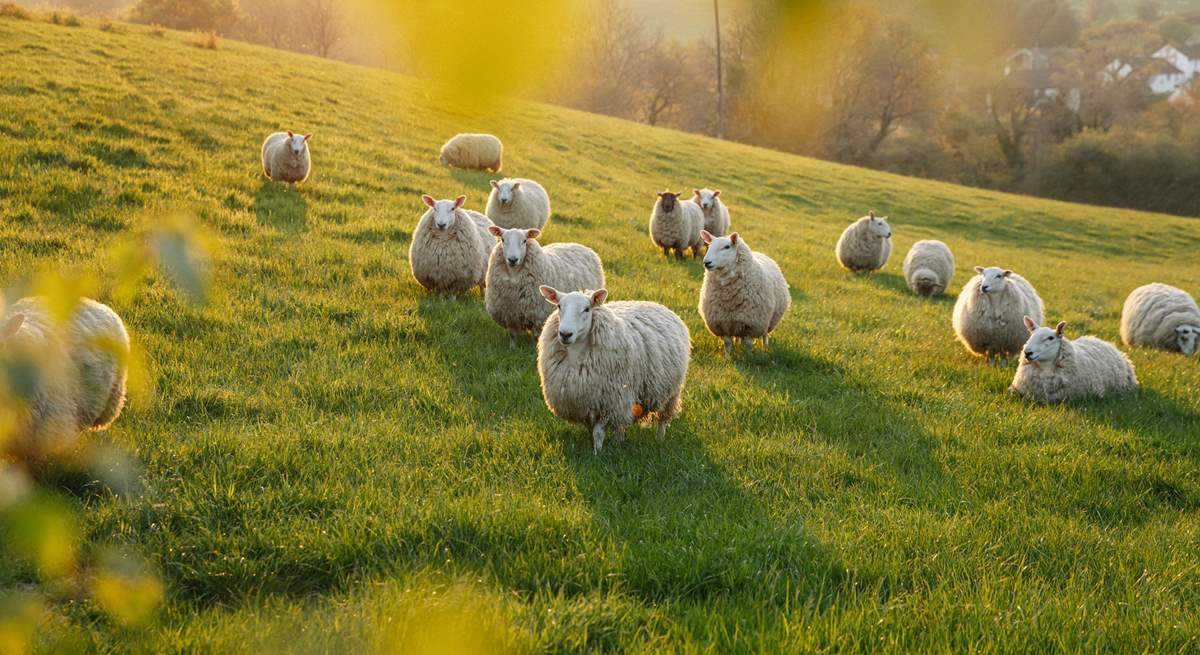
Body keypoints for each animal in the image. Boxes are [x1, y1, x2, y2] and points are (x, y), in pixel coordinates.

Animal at [537, 285, 691, 453]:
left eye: (586, 309)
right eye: (559, 306)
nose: (565, 334)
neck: (575, 355)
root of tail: (659, 305)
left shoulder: (609, 401)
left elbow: (598, 432)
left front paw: (596, 454)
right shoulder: (586, 402)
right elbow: (592, 430)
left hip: (670, 392)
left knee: (662, 418)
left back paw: (659, 439)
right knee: (621, 423)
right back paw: (619, 442)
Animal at [700, 227, 792, 355]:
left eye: (727, 247)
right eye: (709, 245)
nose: (706, 262)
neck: (729, 296)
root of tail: (760, 253)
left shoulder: (751, 324)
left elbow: (748, 343)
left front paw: (749, 356)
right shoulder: (723, 323)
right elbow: (727, 343)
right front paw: (727, 357)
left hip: (767, 321)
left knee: (765, 335)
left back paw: (765, 348)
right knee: (738, 337)